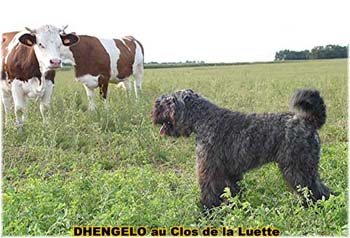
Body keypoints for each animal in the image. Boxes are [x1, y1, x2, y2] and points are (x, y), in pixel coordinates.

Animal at [151, 89, 334, 208]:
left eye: (169, 101)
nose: (154, 112)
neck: (204, 119)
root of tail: (309, 121)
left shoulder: (209, 169)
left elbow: (209, 191)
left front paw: (206, 211)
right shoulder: (229, 172)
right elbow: (232, 191)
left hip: (298, 169)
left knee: (313, 191)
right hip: (306, 169)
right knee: (323, 190)